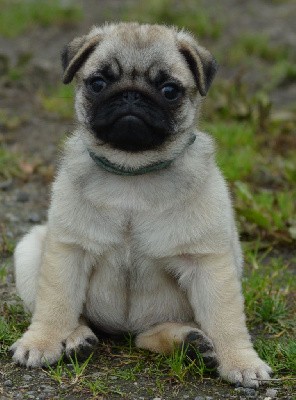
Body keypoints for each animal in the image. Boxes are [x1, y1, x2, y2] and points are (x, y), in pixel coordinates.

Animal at [11, 21, 270, 388]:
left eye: (169, 90)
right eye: (98, 83)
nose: (131, 95)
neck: (132, 174)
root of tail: (122, 331)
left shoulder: (208, 264)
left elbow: (226, 320)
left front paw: (241, 361)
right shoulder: (68, 252)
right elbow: (55, 305)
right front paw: (41, 342)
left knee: (147, 336)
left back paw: (189, 343)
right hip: (31, 249)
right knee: (73, 314)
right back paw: (76, 338)